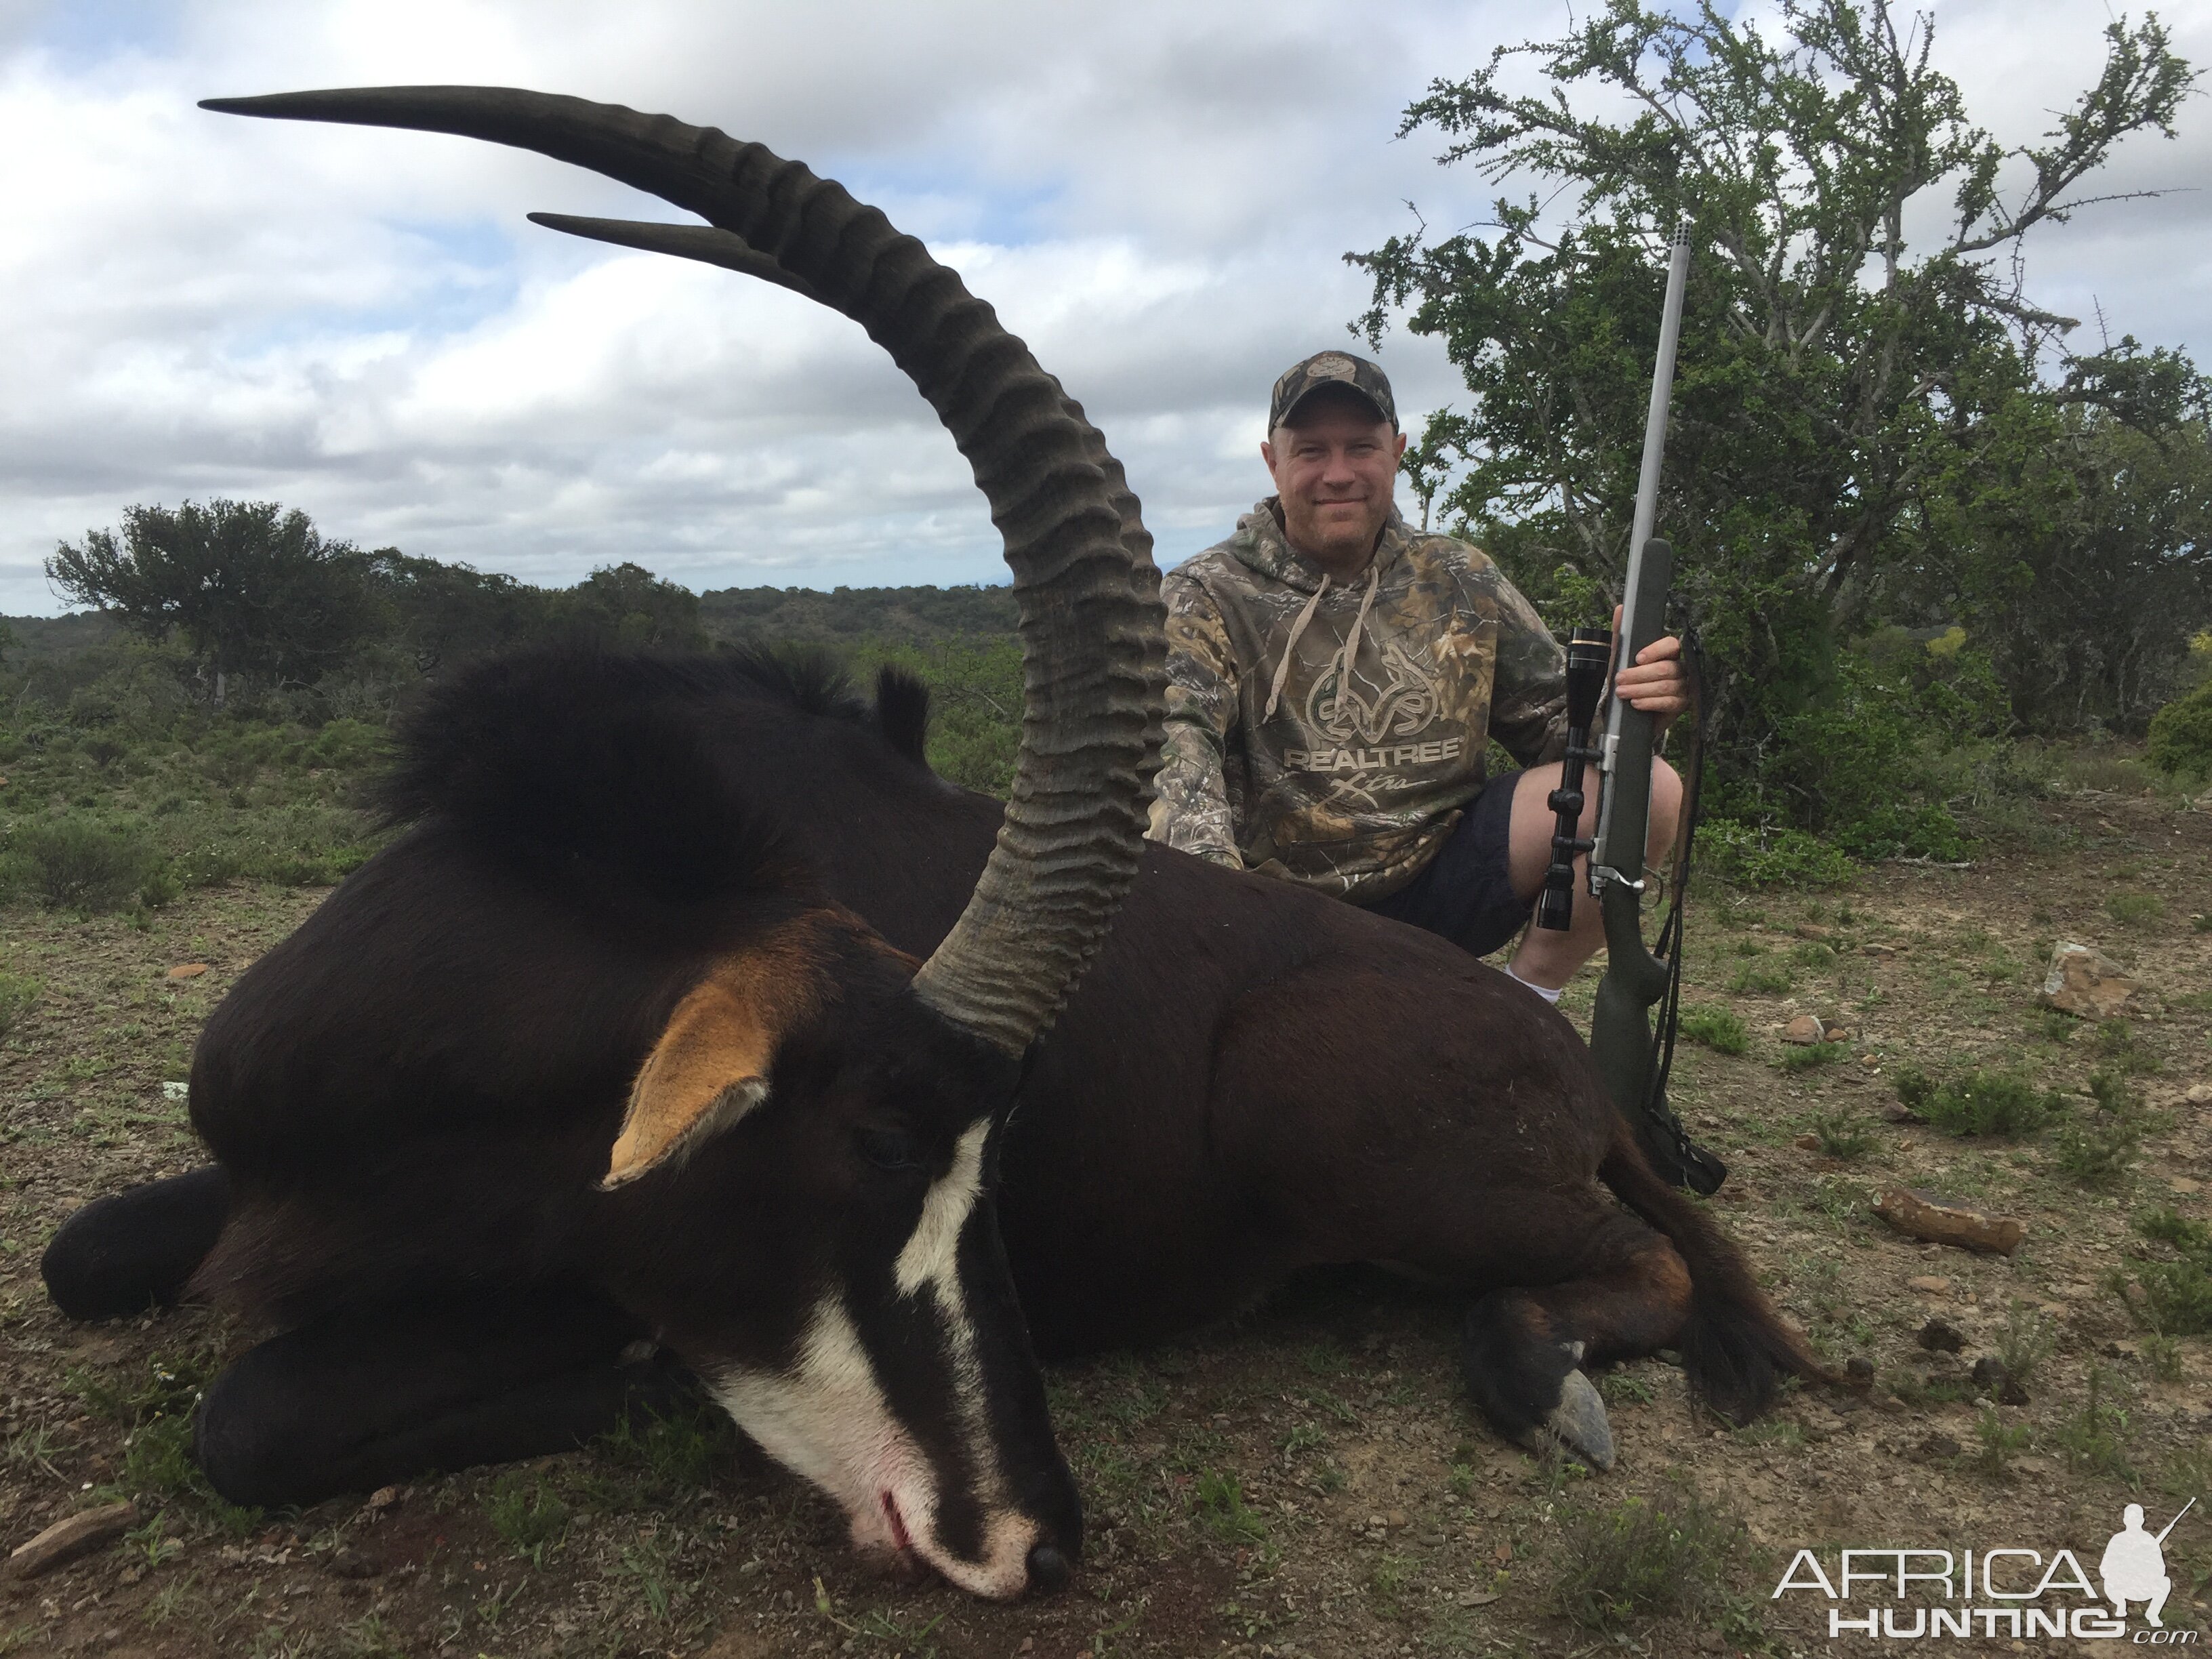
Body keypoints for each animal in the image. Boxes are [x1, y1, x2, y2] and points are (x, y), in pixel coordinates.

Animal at [43, 84, 1822, 1601]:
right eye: (885, 1138)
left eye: (992, 1160)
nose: (1041, 1539)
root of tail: (1571, 1067)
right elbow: (79, 1250)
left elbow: (252, 1413)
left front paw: (637, 1378)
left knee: (1643, 1267)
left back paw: (1540, 1372)